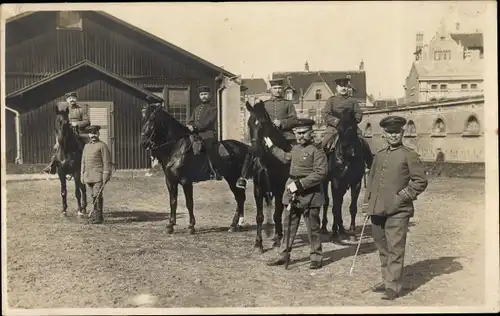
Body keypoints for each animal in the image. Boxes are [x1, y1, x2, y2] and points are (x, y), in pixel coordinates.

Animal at [139, 103, 252, 235]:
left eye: (152, 121)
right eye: (143, 119)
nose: (143, 143)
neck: (177, 148)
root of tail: (244, 146)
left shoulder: (186, 181)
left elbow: (189, 203)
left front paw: (191, 226)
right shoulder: (170, 181)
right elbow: (173, 202)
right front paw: (170, 226)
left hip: (233, 179)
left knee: (240, 198)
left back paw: (234, 225)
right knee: (240, 198)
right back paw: (237, 225)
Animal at [243, 100, 292, 252]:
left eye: (263, 123)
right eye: (249, 123)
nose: (254, 150)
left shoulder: (279, 189)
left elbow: (277, 214)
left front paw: (276, 239)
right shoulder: (259, 189)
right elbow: (260, 216)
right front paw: (258, 243)